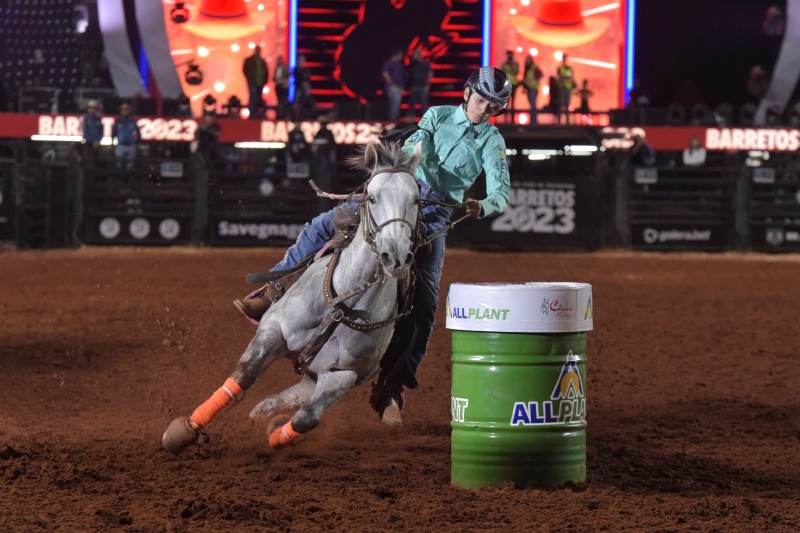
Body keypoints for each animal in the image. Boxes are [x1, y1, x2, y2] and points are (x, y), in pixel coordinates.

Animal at [163, 139, 424, 450]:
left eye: (417, 199)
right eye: (371, 198)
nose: (395, 258)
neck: (343, 302)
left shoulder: (342, 375)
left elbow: (305, 419)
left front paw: (275, 433)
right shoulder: (273, 330)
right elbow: (243, 377)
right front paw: (186, 429)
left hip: (316, 374)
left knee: (294, 399)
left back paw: (264, 413)